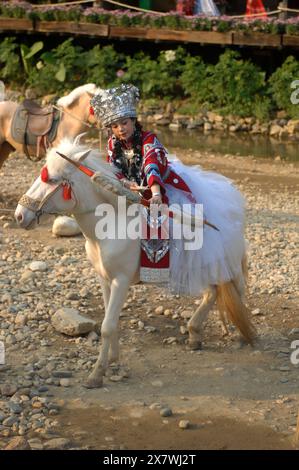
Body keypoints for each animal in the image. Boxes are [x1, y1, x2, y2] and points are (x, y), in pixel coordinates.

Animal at [15, 138, 256, 388]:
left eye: (52, 180)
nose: (19, 216)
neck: (110, 225)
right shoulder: (105, 279)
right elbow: (109, 321)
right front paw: (112, 359)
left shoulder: (121, 281)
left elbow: (107, 326)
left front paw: (97, 373)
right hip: (205, 265)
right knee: (212, 292)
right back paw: (194, 333)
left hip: (228, 263)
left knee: (237, 291)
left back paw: (240, 335)